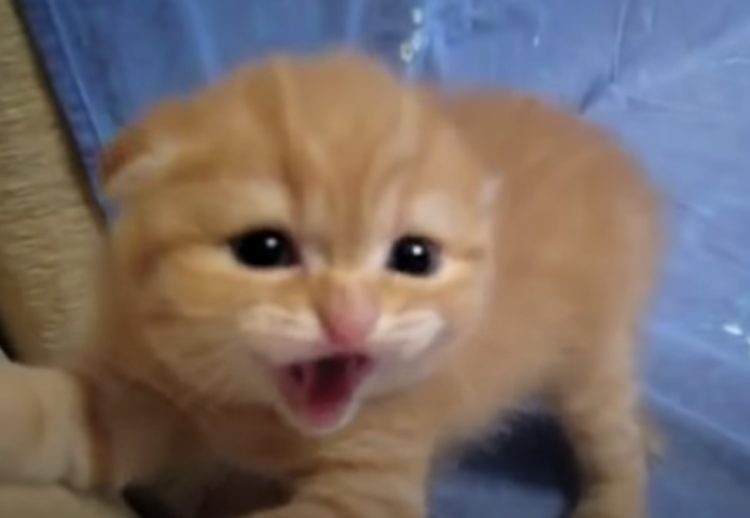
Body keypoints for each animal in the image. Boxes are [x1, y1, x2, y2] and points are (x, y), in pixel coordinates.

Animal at [0, 51, 662, 518]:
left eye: (414, 257)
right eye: (264, 250)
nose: (351, 320)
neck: (260, 420)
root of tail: (605, 148)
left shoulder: (369, 491)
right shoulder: (141, 399)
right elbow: (56, 415)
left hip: (591, 367)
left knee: (616, 440)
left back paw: (613, 501)